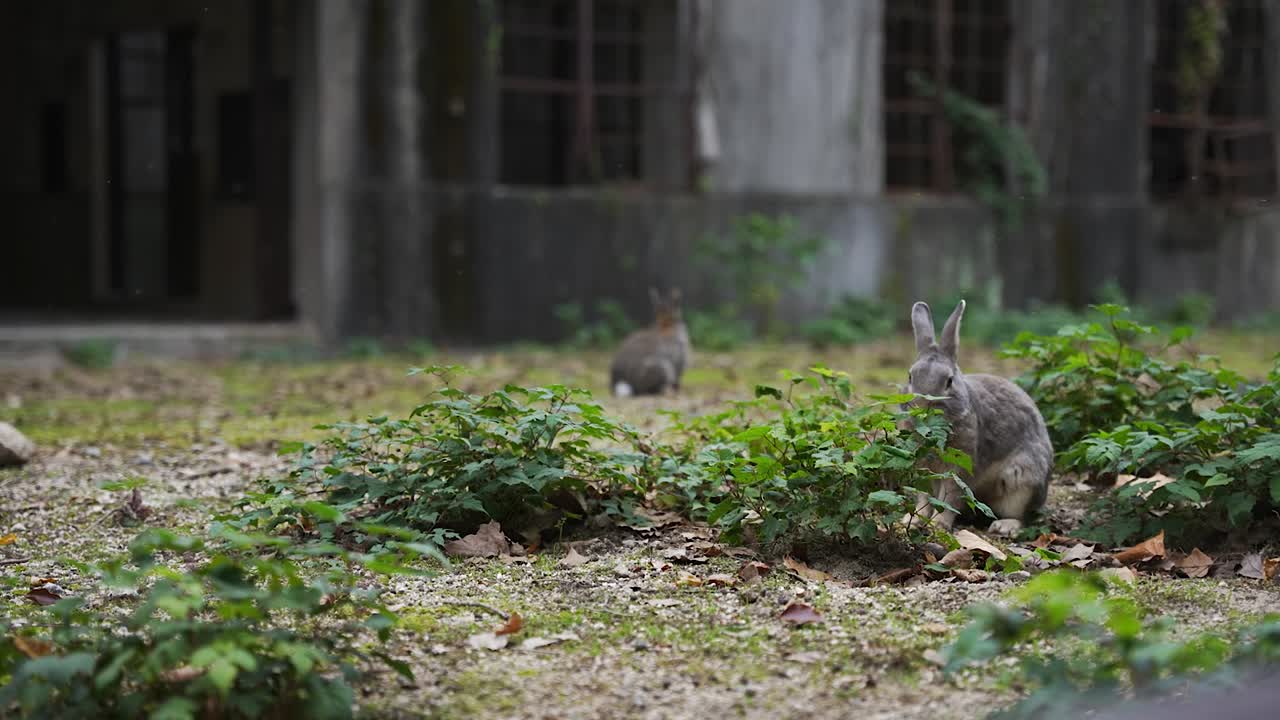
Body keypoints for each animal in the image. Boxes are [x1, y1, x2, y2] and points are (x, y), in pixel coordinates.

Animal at [902, 299, 1053, 537]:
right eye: (910, 376)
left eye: (949, 381)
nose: (922, 408)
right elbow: (924, 496)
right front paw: (914, 520)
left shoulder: (960, 464)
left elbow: (950, 496)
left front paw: (939, 525)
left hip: (1023, 482)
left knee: (1023, 516)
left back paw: (1004, 526)